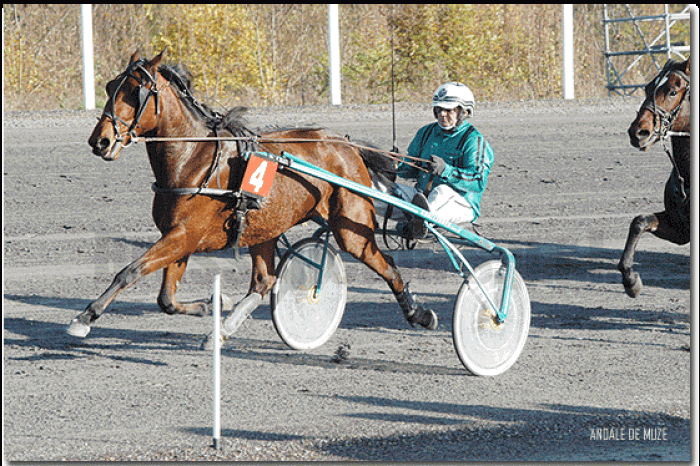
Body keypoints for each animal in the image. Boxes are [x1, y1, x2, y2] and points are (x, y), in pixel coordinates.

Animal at [67, 51, 438, 340]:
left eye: (135, 90)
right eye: (110, 86)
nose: (100, 141)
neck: (192, 159)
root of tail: (345, 144)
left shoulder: (184, 235)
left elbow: (130, 271)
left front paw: (85, 317)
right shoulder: (179, 237)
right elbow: (166, 300)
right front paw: (214, 304)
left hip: (351, 229)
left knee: (386, 264)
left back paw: (419, 314)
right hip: (266, 228)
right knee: (263, 282)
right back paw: (224, 330)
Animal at [616, 58, 688, 298]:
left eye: (673, 91)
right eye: (648, 88)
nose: (638, 132)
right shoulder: (679, 229)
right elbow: (639, 222)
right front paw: (630, 280)